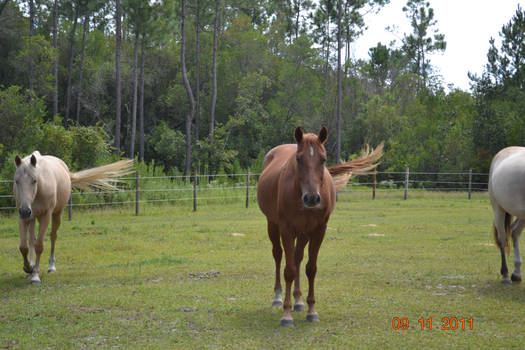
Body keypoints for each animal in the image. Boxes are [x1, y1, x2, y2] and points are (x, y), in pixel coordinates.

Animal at [14, 152, 133, 284]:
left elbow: (39, 246)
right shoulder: (23, 217)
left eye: (34, 180)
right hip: (32, 217)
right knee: (31, 240)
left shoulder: (46, 216)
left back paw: (51, 267)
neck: (40, 189)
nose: (25, 211)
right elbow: (23, 247)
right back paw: (31, 267)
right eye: (17, 181)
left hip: (56, 214)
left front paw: (35, 275)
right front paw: (28, 268)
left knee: (53, 237)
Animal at [256, 126, 382, 326]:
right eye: (299, 159)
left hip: (303, 233)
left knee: (297, 258)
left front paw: (311, 311)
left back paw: (299, 301)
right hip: (273, 225)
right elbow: (289, 270)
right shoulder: (286, 229)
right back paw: (277, 298)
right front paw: (286, 315)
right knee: (278, 255)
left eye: (323, 159)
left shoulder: (318, 230)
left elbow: (311, 269)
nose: (312, 198)